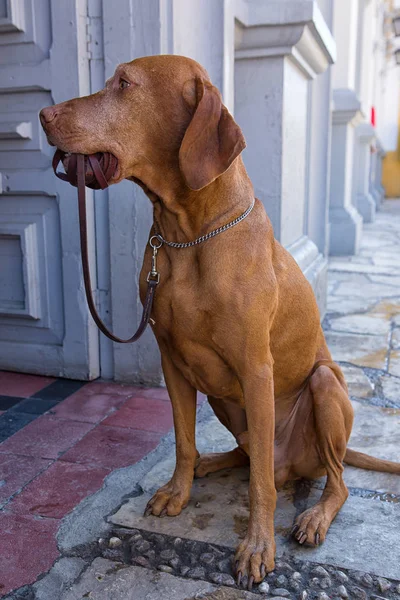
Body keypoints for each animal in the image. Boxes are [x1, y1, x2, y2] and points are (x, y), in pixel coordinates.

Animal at [40, 56, 400, 592]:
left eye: (123, 83)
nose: (43, 114)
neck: (188, 234)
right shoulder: (173, 364)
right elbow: (184, 441)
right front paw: (180, 487)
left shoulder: (255, 369)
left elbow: (260, 488)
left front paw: (257, 547)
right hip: (220, 398)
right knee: (250, 457)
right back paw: (213, 463)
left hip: (324, 388)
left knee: (324, 480)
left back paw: (314, 515)